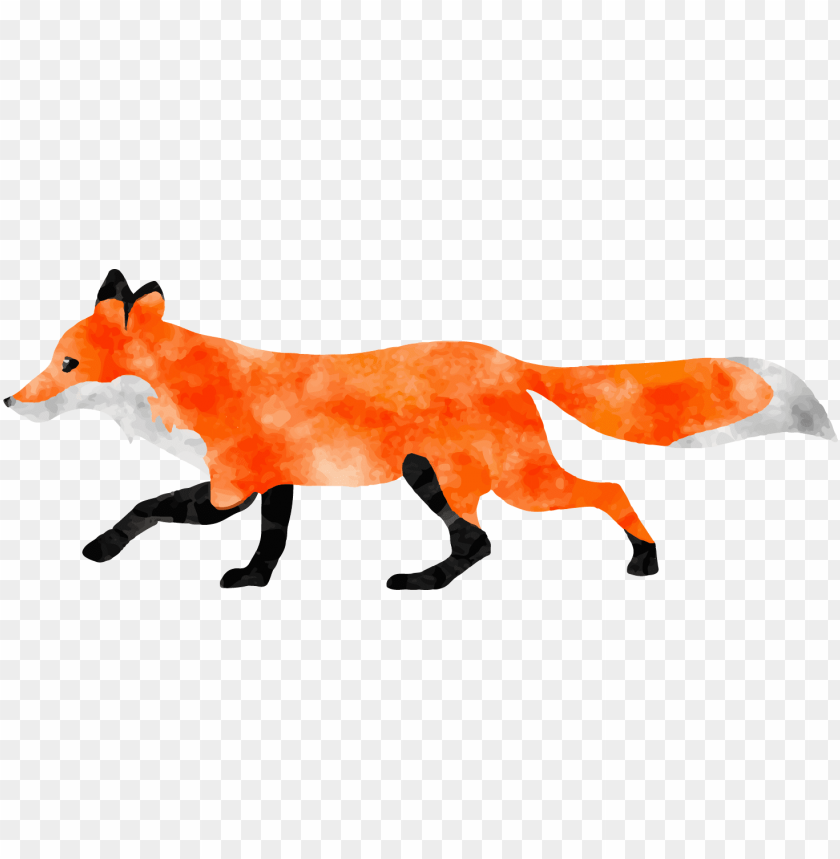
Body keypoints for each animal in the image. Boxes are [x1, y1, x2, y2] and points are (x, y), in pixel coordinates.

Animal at [4, 270, 837, 590]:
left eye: (67, 362)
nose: (11, 401)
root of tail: (504, 358)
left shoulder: (228, 487)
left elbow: (144, 507)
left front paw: (100, 548)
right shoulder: (279, 480)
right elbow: (272, 541)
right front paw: (254, 581)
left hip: (496, 479)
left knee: (595, 493)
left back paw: (644, 558)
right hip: (440, 475)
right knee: (481, 542)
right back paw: (428, 580)